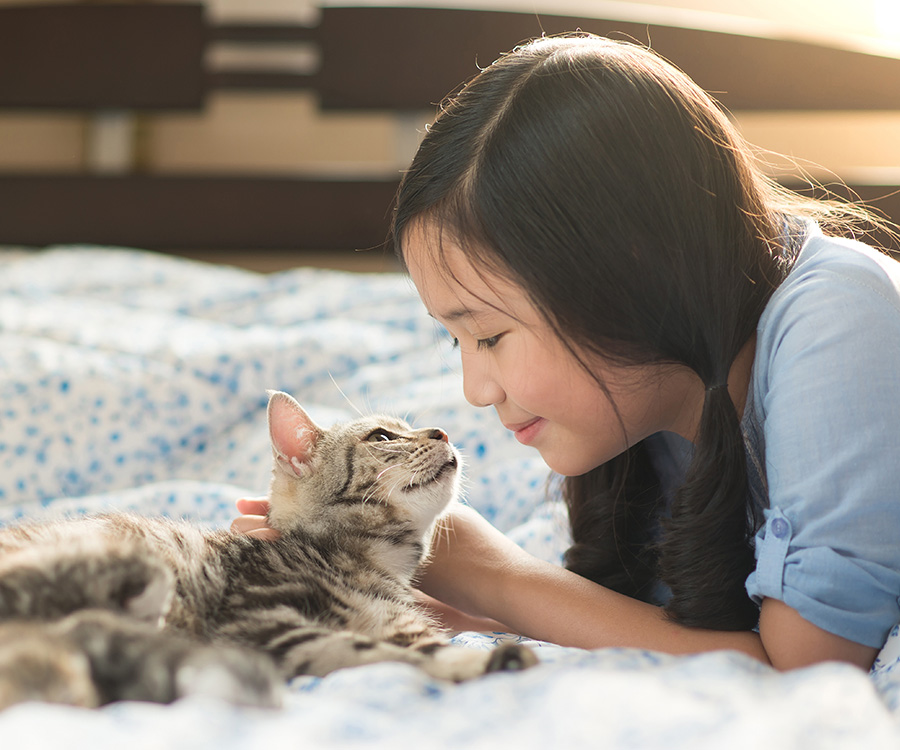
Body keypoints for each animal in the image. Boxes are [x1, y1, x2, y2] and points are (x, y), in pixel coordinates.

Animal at [0, 394, 536, 712]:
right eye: (382, 436)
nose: (441, 432)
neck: (377, 564)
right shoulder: (258, 622)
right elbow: (366, 650)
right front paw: (474, 663)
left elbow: (411, 644)